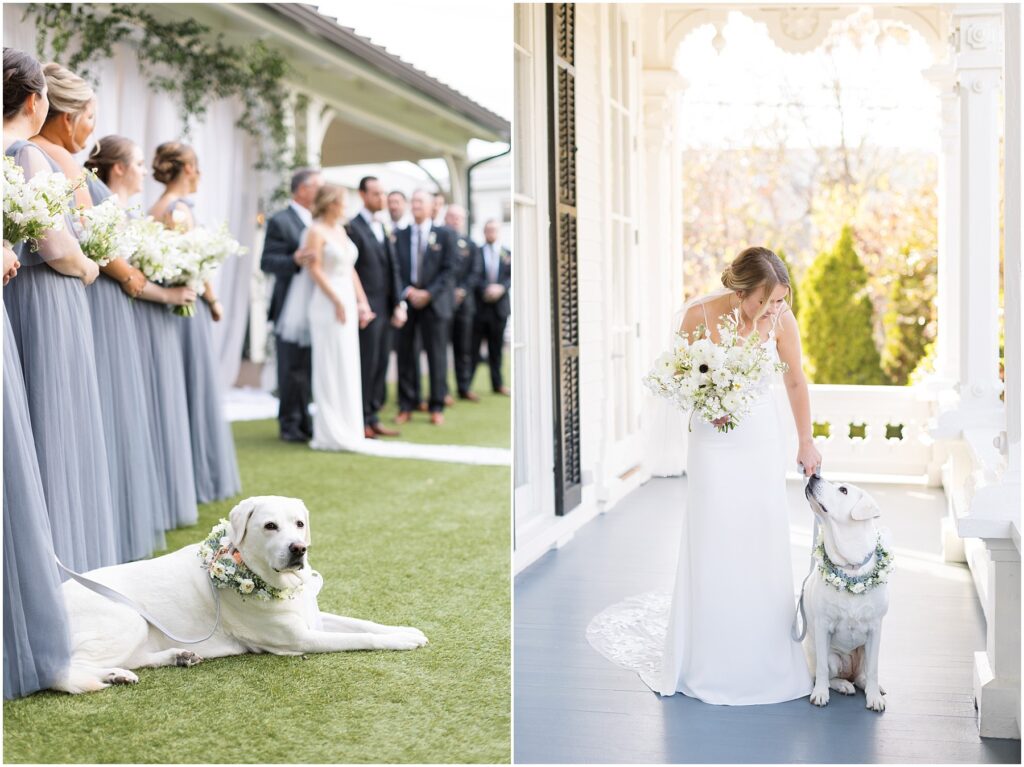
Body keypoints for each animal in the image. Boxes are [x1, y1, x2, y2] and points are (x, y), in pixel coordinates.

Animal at [52, 493, 428, 692]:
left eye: (299, 523)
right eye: (270, 526)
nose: (299, 549)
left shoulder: (314, 618)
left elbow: (364, 624)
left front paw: (404, 630)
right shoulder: (300, 639)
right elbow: (361, 638)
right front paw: (400, 641)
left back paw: (171, 658)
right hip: (126, 619)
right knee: (66, 670)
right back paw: (110, 675)